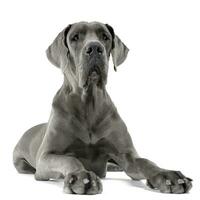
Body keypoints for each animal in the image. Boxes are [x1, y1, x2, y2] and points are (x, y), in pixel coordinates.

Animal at [12, 21, 192, 195]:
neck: (89, 104)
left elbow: (145, 162)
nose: (94, 48)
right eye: (75, 37)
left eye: (105, 37)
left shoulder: (128, 155)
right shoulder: (46, 157)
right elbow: (70, 159)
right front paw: (81, 177)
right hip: (21, 163)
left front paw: (168, 176)